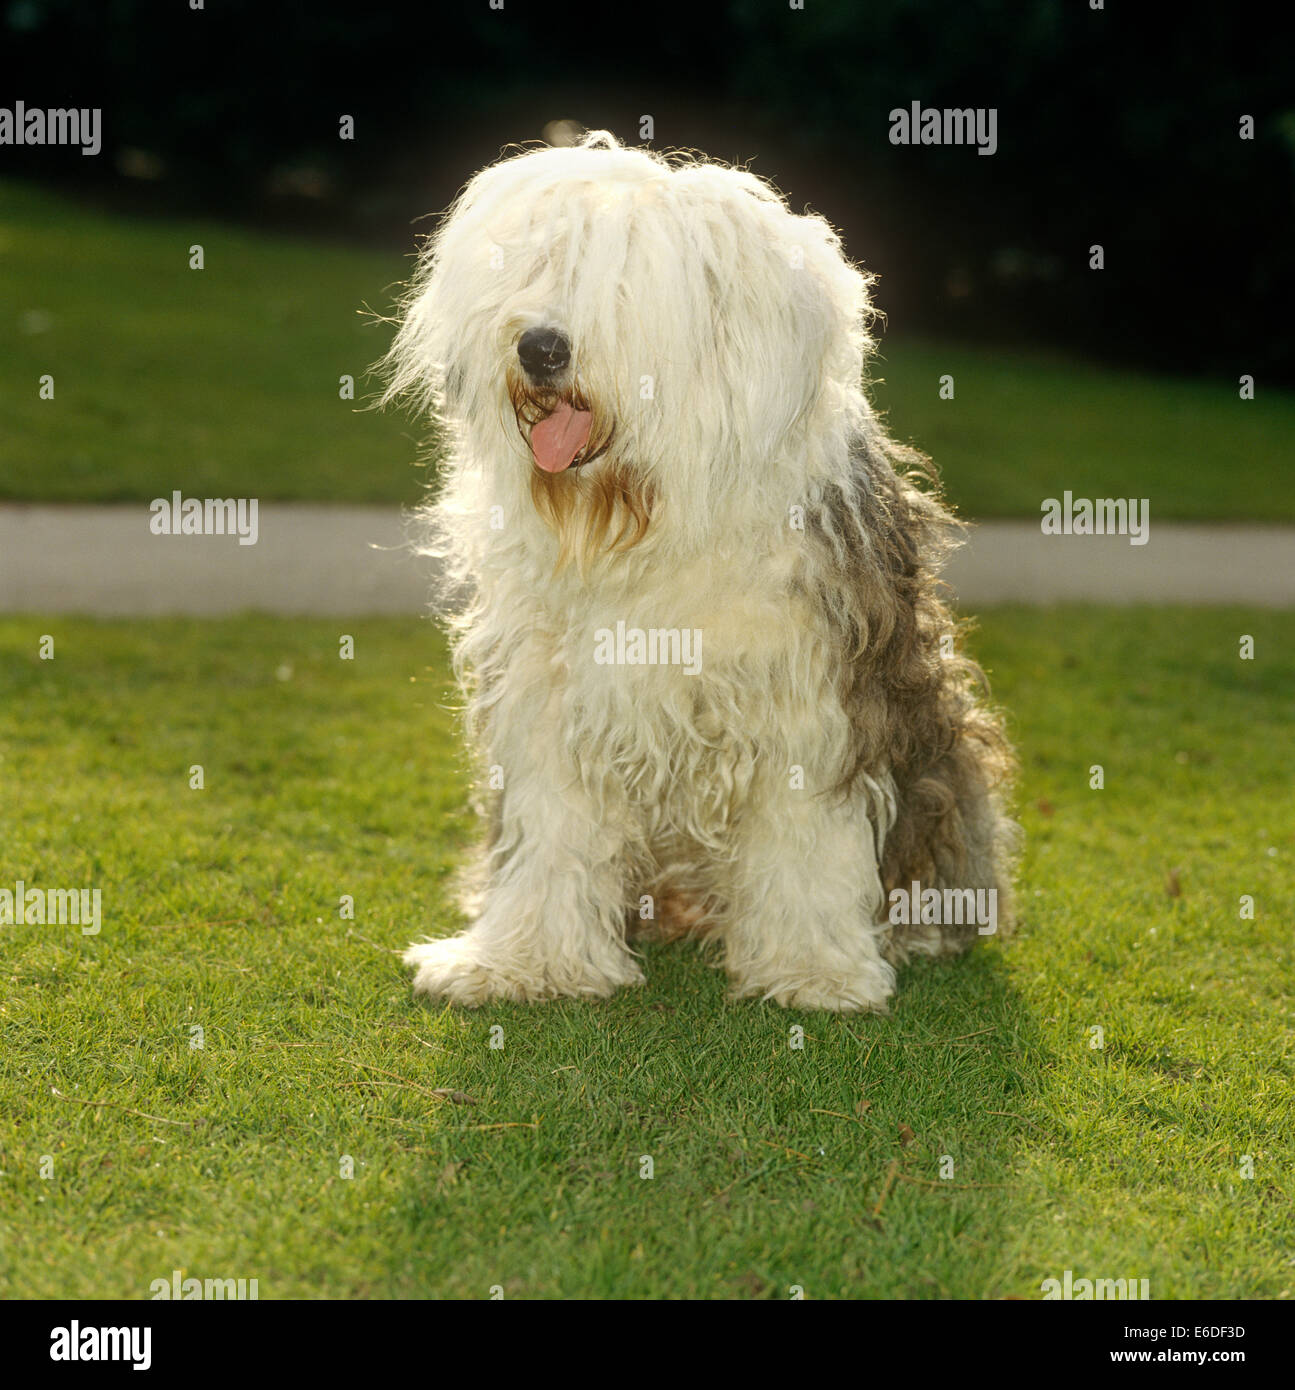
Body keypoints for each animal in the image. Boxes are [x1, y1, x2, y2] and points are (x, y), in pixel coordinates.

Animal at [380, 135, 1017, 1017]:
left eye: (626, 289)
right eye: (546, 263)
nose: (539, 348)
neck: (643, 529)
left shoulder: (815, 694)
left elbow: (805, 840)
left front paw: (814, 972)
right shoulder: (549, 696)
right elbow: (551, 830)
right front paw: (521, 963)